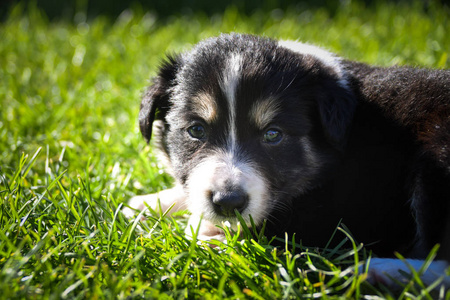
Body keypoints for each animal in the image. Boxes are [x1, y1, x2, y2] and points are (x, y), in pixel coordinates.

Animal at [125, 33, 450, 288]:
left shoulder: (344, 209)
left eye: (273, 134)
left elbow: (274, 224)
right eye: (196, 130)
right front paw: (144, 205)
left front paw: (207, 233)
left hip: (436, 158)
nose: (228, 202)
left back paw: (380, 271)